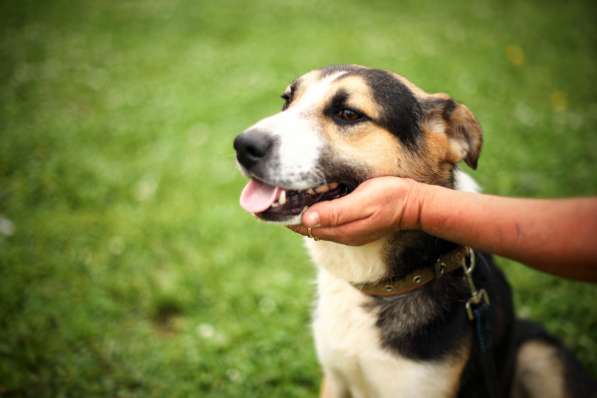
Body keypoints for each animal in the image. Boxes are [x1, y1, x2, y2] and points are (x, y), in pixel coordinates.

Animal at [230, 63, 592, 396]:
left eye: (348, 114)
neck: (376, 289)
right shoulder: (335, 379)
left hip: (540, 354)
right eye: (287, 101)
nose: (243, 145)